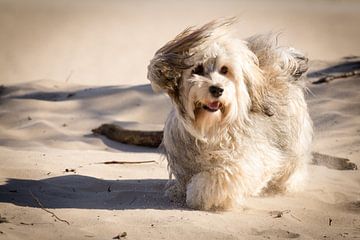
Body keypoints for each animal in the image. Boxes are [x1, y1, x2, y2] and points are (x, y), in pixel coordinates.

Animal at [146, 19, 312, 210]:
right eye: (197, 69)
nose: (217, 89)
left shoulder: (250, 159)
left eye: (224, 70)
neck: (209, 129)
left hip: (292, 142)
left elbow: (219, 177)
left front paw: (198, 193)